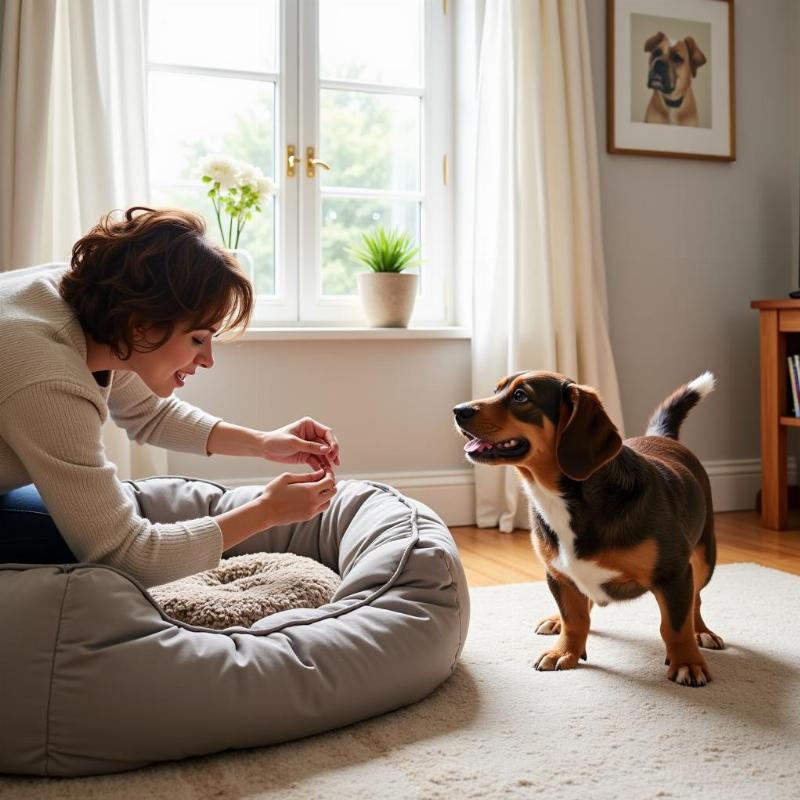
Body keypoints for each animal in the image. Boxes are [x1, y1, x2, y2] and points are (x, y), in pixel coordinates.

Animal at [456, 370, 724, 688]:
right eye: (496, 390)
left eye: (521, 396)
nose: (458, 411)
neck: (562, 498)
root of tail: (661, 437)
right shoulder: (557, 574)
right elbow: (574, 618)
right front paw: (565, 651)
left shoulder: (673, 573)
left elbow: (675, 626)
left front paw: (687, 662)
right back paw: (556, 620)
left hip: (704, 556)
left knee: (696, 598)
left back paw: (702, 631)